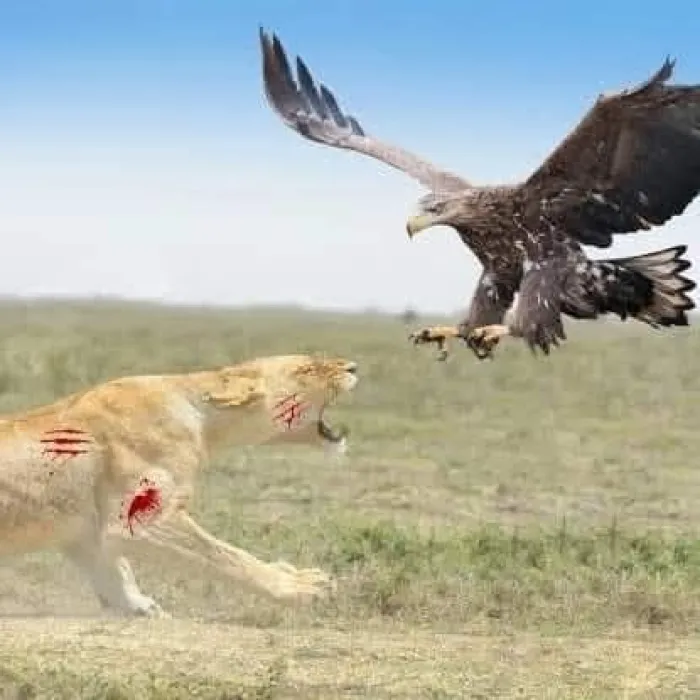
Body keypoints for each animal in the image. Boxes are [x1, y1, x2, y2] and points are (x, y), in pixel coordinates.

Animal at [0, 354, 359, 617]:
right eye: (306, 368)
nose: (353, 367)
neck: (206, 423)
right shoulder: (140, 521)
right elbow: (222, 554)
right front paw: (304, 586)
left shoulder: (83, 529)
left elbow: (115, 571)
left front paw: (141, 608)